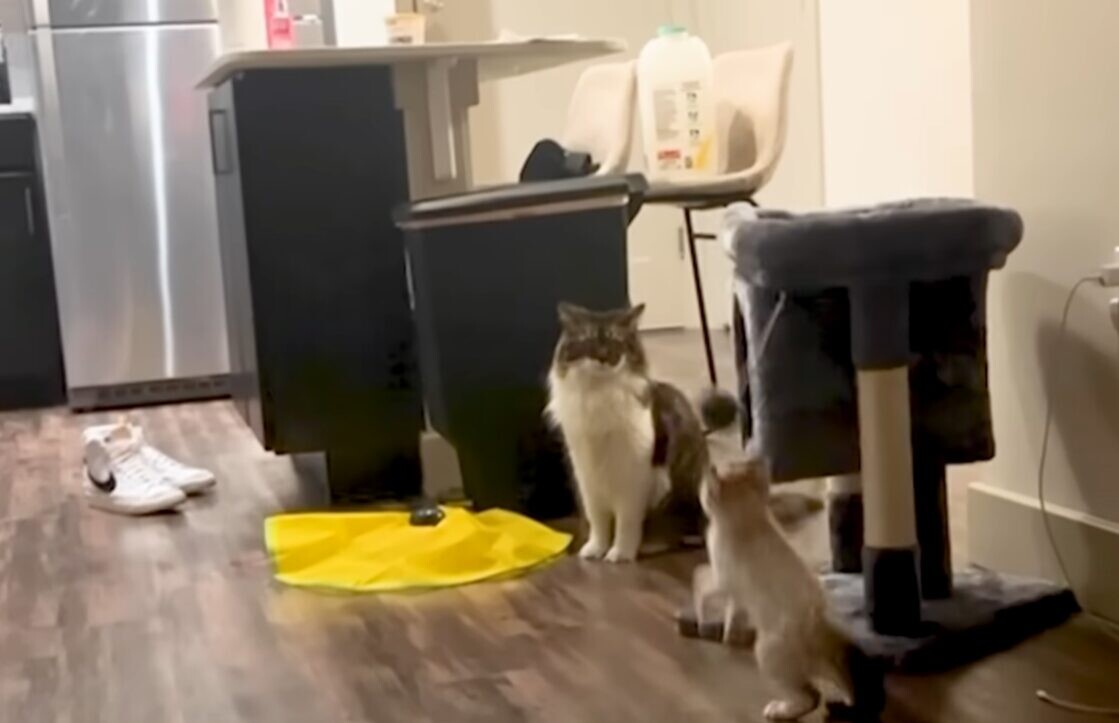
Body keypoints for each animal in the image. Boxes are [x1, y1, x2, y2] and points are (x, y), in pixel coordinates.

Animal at [546, 302, 714, 563]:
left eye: (616, 340)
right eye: (588, 340)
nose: (604, 357)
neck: (599, 396)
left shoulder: (633, 481)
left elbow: (626, 524)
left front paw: (620, 553)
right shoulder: (588, 480)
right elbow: (598, 522)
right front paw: (595, 549)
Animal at [696, 457, 884, 721]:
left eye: (704, 489)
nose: (701, 487)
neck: (749, 517)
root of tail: (824, 637)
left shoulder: (723, 580)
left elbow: (701, 581)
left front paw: (702, 614)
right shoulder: (737, 593)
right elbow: (734, 610)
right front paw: (729, 633)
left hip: (767, 653)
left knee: (811, 697)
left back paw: (779, 710)